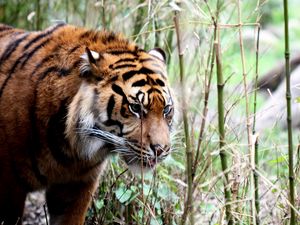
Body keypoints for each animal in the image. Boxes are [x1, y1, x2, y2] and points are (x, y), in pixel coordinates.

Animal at [0, 23, 173, 225]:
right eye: (135, 107)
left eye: (166, 109)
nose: (161, 150)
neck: (70, 150)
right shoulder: (9, 185)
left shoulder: (77, 186)